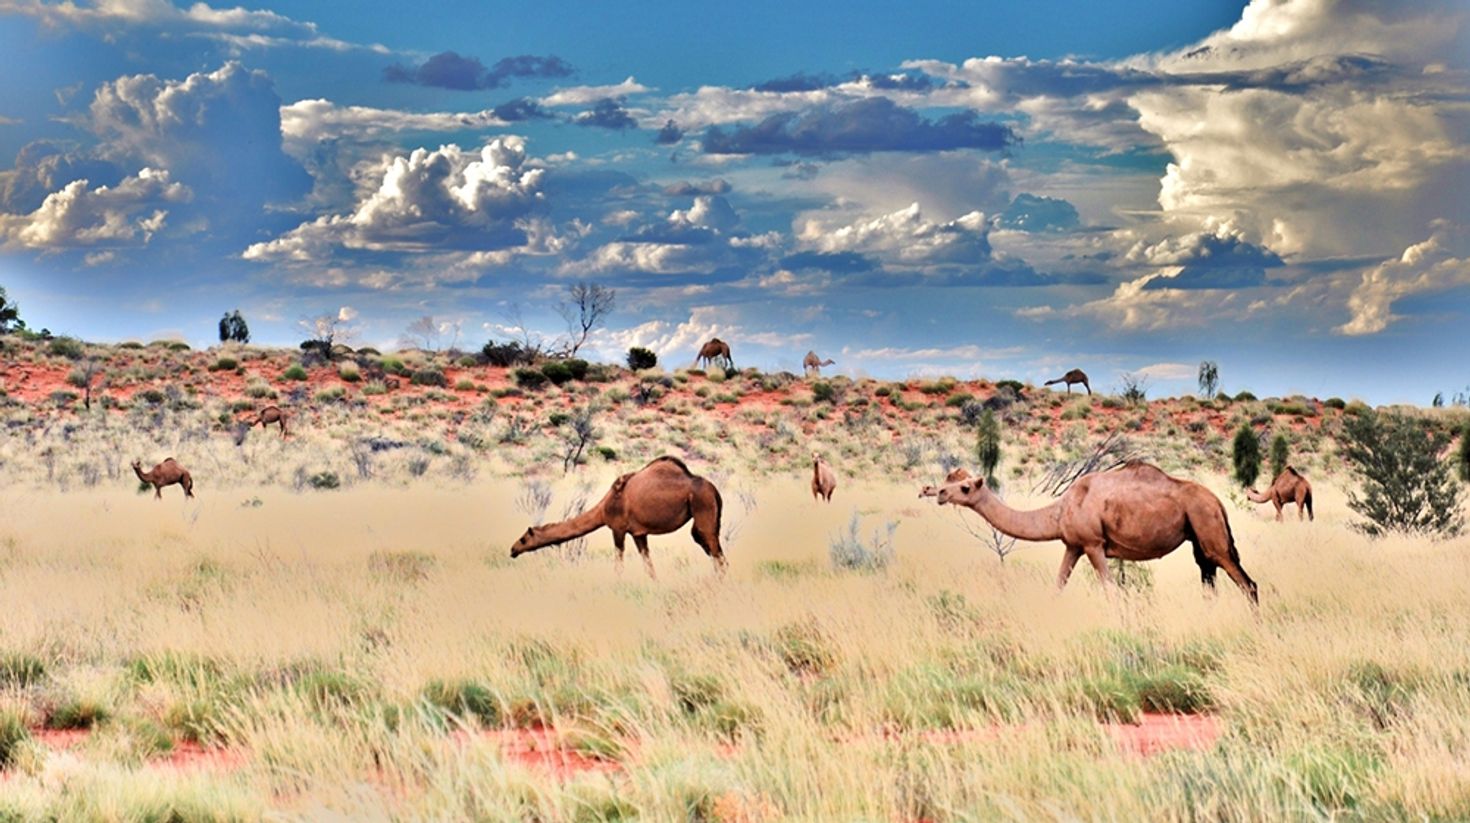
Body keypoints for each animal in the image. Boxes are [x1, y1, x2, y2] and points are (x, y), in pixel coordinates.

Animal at [510, 456, 724, 578]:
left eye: (523, 538)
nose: (512, 550)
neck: (605, 507)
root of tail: (715, 490)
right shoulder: (639, 533)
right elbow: (648, 563)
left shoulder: (618, 528)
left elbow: (619, 561)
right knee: (712, 549)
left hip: (703, 506)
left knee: (715, 551)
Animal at [930, 462, 1258, 604]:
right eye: (950, 481)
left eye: (965, 487)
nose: (939, 493)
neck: (1060, 509)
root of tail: (1217, 502)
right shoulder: (1073, 546)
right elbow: (1058, 585)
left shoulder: (1093, 544)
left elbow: (1111, 591)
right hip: (1198, 536)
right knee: (1209, 577)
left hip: (1208, 527)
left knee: (1247, 583)